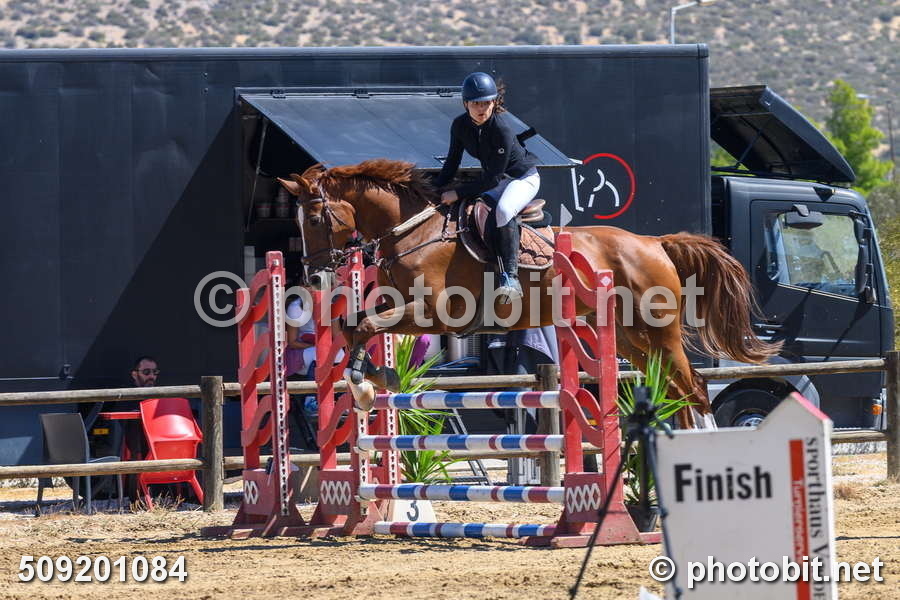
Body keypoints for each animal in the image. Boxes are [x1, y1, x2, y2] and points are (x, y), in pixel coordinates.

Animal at [277, 159, 781, 428]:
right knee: (677, 389)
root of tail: (655, 244)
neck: (412, 231)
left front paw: (365, 383)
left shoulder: (434, 312)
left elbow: (364, 323)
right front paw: (372, 380)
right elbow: (351, 324)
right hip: (631, 338)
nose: (314, 277)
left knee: (694, 387)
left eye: (316, 217)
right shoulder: (396, 303)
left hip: (660, 331)